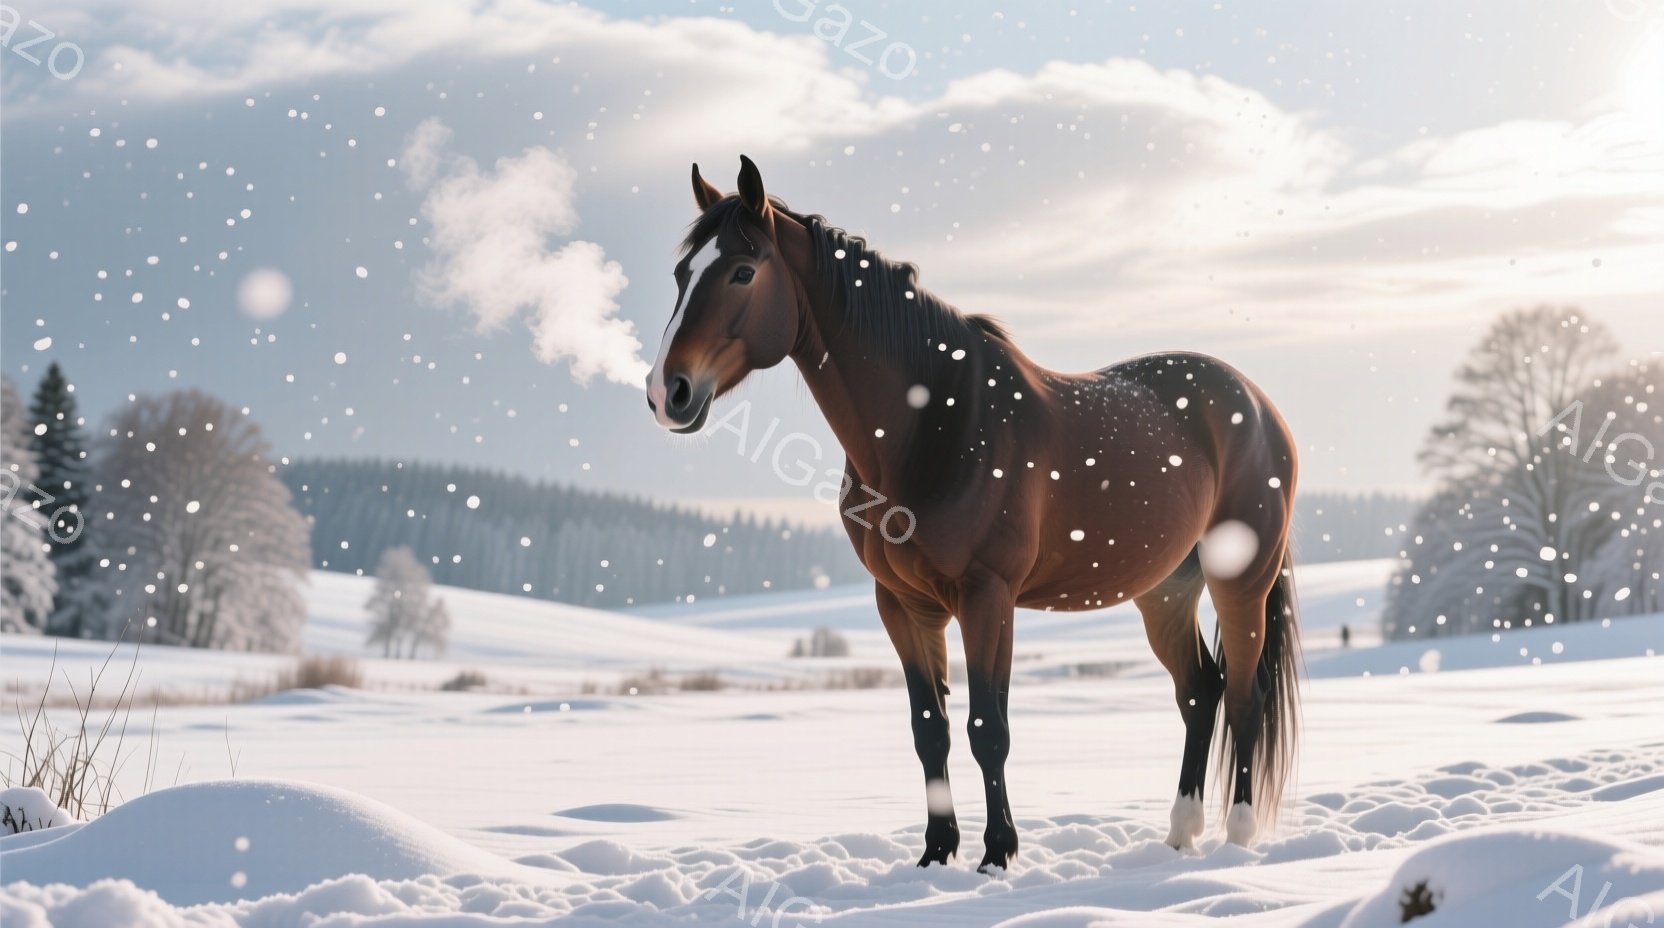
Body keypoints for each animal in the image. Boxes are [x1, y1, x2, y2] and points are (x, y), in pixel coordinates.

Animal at [645, 157, 1302, 872]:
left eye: (743, 270)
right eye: (681, 274)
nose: (667, 391)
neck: (935, 421)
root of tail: (1258, 403)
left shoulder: (987, 597)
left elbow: (989, 727)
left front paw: (997, 853)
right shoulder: (902, 603)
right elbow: (928, 728)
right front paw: (937, 852)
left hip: (1239, 579)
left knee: (1242, 695)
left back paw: (1237, 837)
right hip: (1164, 590)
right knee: (1199, 692)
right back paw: (1181, 833)